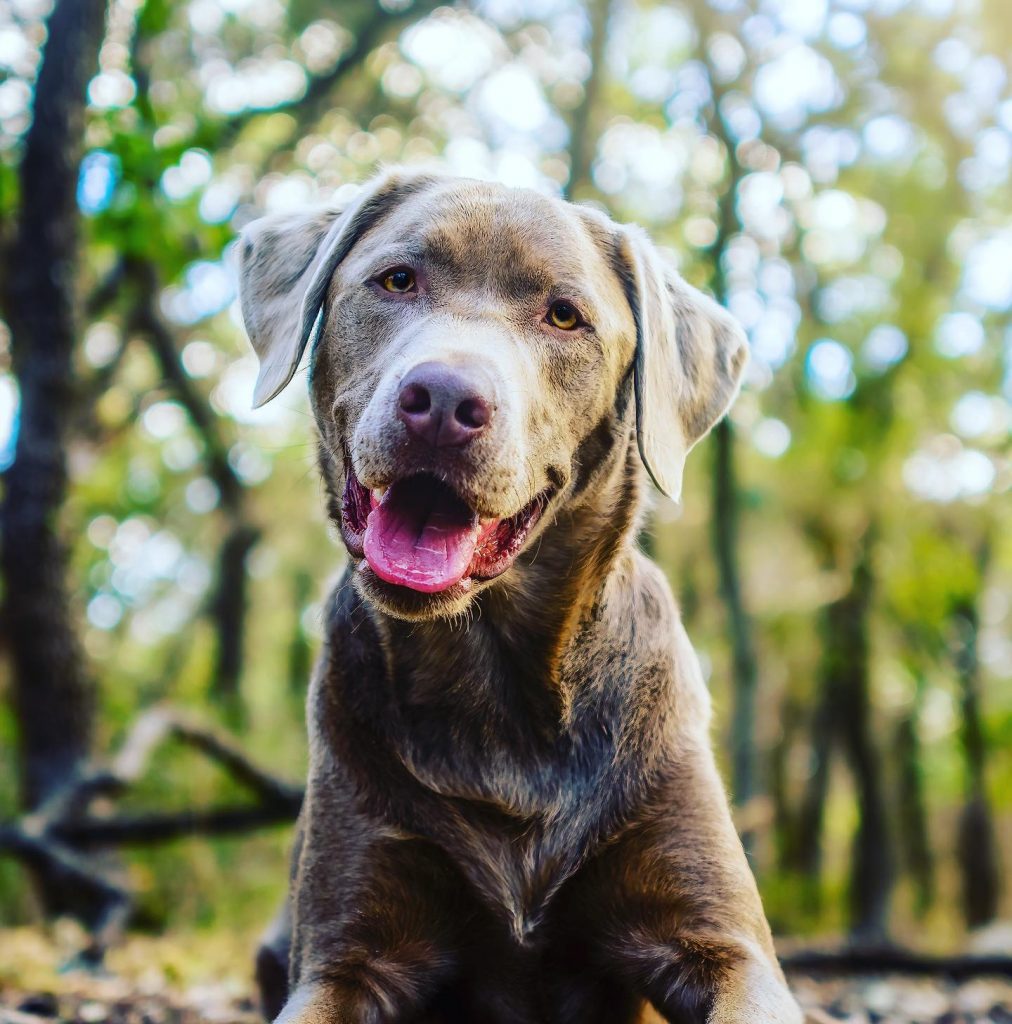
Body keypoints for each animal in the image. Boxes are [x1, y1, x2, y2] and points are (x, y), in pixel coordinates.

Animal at [237, 169, 798, 1024]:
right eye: (396, 280)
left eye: (564, 315)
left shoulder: (725, 944)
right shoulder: (343, 955)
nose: (442, 398)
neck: (496, 697)